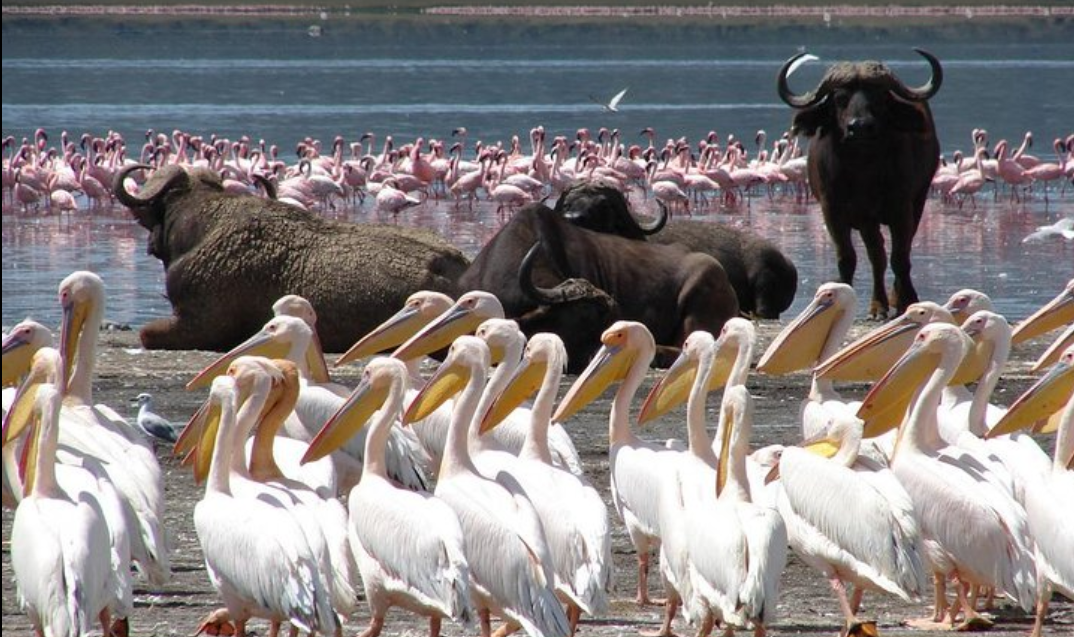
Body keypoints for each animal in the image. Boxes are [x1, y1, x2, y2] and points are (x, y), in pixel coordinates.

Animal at [781, 48, 940, 315]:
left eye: (879, 97)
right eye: (840, 98)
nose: (860, 127)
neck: (862, 172)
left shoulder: (902, 208)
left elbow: (900, 257)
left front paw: (906, 299)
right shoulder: (834, 210)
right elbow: (849, 257)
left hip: (919, 199)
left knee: (898, 251)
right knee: (877, 255)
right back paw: (879, 304)